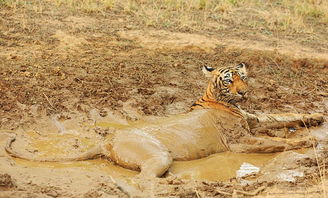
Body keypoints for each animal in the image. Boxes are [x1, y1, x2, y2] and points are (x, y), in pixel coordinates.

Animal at [4, 62, 322, 177]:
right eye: (229, 81)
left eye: (243, 77)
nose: (244, 93)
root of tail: (107, 141)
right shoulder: (239, 142)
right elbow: (275, 142)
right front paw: (308, 141)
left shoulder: (255, 119)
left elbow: (286, 115)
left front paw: (317, 117)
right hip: (158, 155)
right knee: (144, 178)